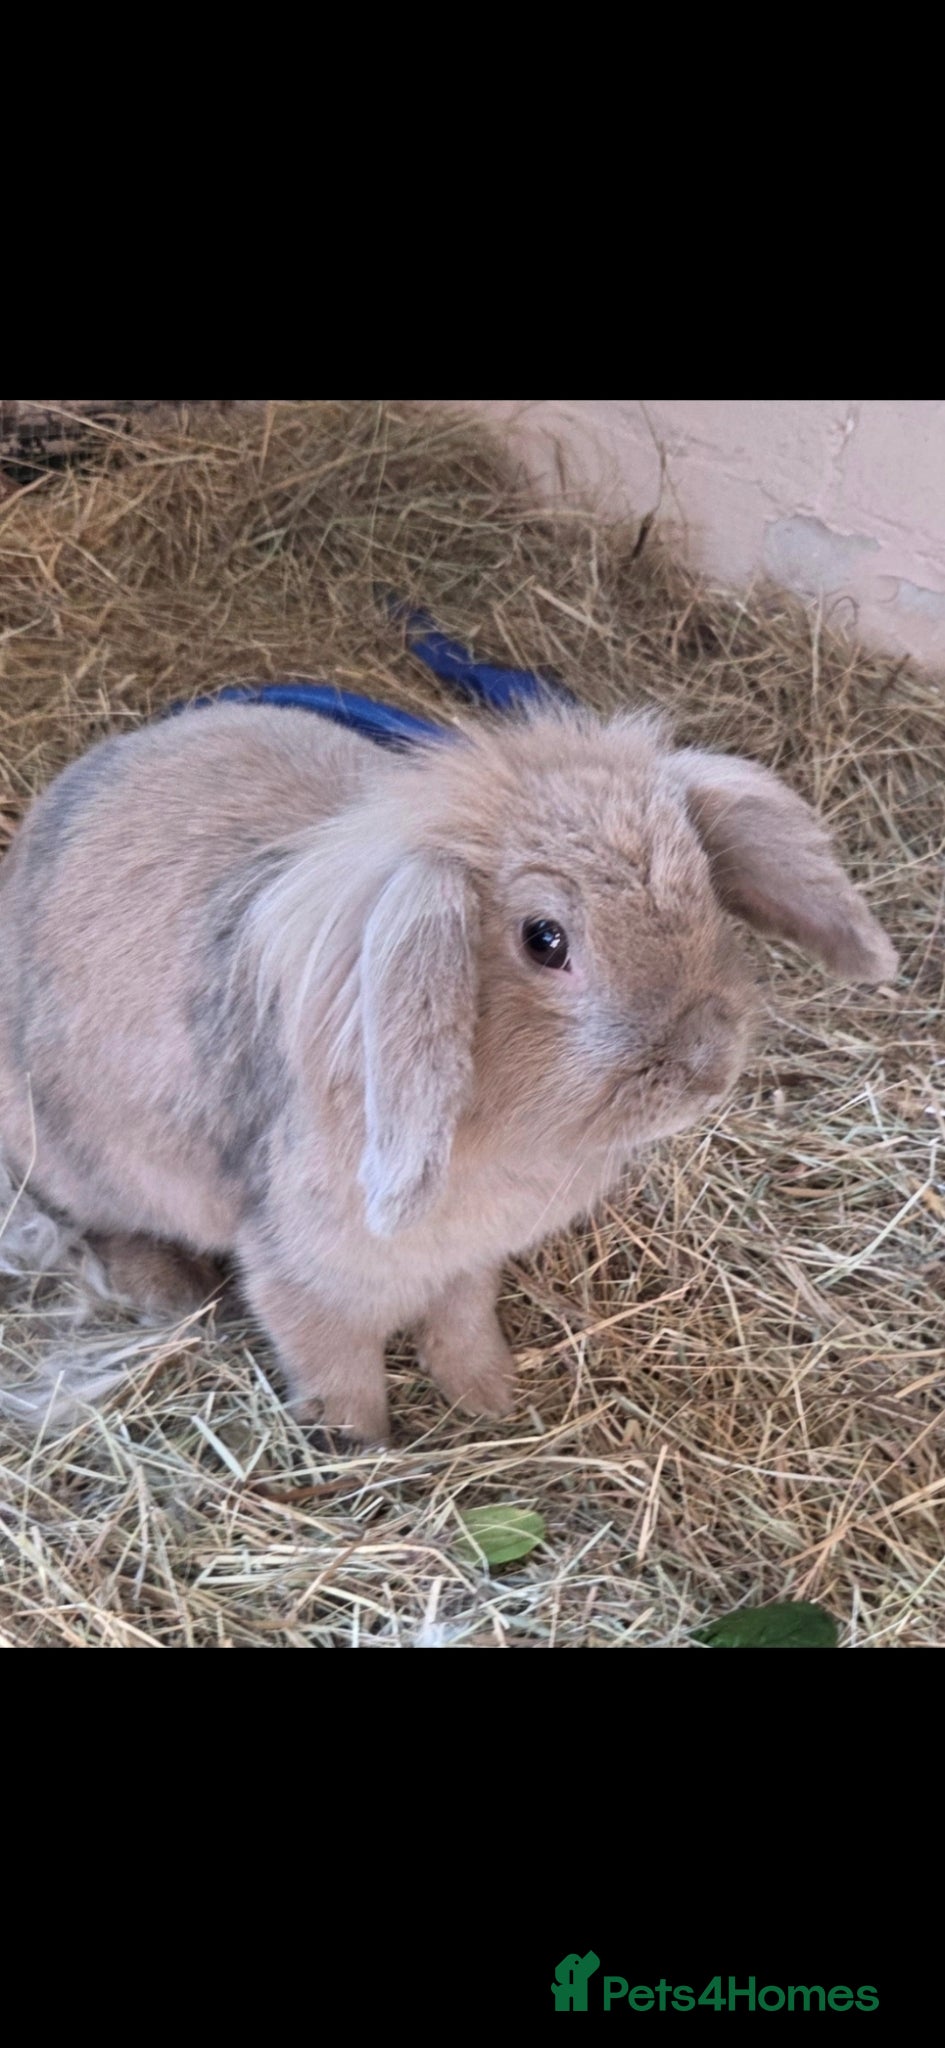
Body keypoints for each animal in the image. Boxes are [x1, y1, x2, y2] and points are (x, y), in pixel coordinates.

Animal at [0, 699, 897, 1443]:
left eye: (705, 886)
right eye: (545, 940)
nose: (708, 1065)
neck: (501, 1138)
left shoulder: (467, 1263)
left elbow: (462, 1323)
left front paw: (491, 1398)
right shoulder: (303, 1273)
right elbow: (333, 1361)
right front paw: (362, 1446)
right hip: (71, 1155)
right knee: (105, 1219)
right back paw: (169, 1288)